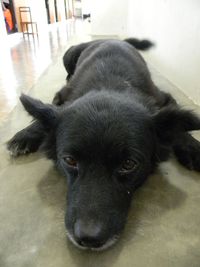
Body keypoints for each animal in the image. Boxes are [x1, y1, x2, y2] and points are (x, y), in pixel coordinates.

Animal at [7, 38, 200, 251]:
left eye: (128, 164)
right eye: (70, 160)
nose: (88, 239)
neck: (110, 86)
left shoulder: (164, 97)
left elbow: (178, 120)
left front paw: (192, 147)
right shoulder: (60, 97)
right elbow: (49, 112)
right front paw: (26, 134)